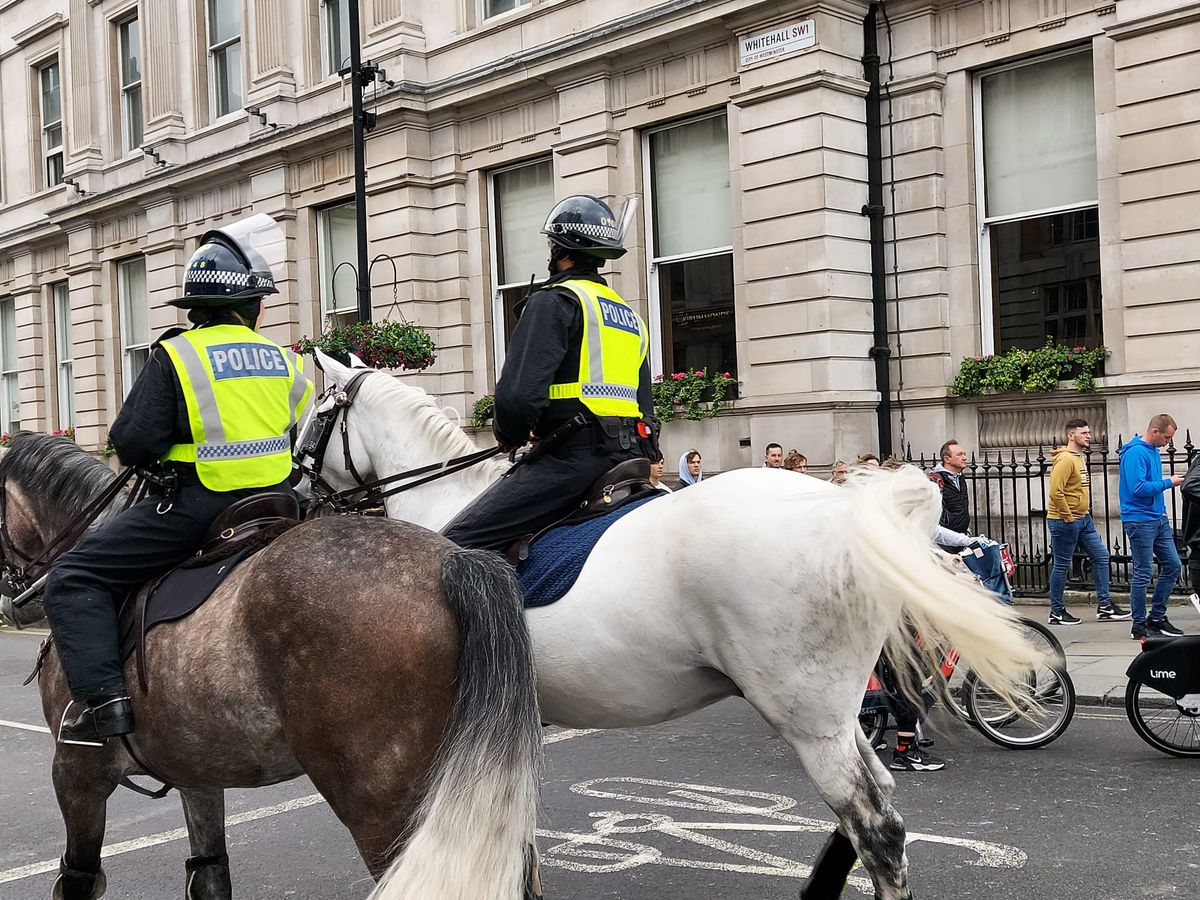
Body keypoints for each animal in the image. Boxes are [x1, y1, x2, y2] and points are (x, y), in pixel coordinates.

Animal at [309, 355, 1041, 897]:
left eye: (315, 414)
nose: (297, 489)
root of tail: (848, 508)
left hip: (807, 715)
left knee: (876, 827)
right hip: (828, 711)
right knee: (870, 808)